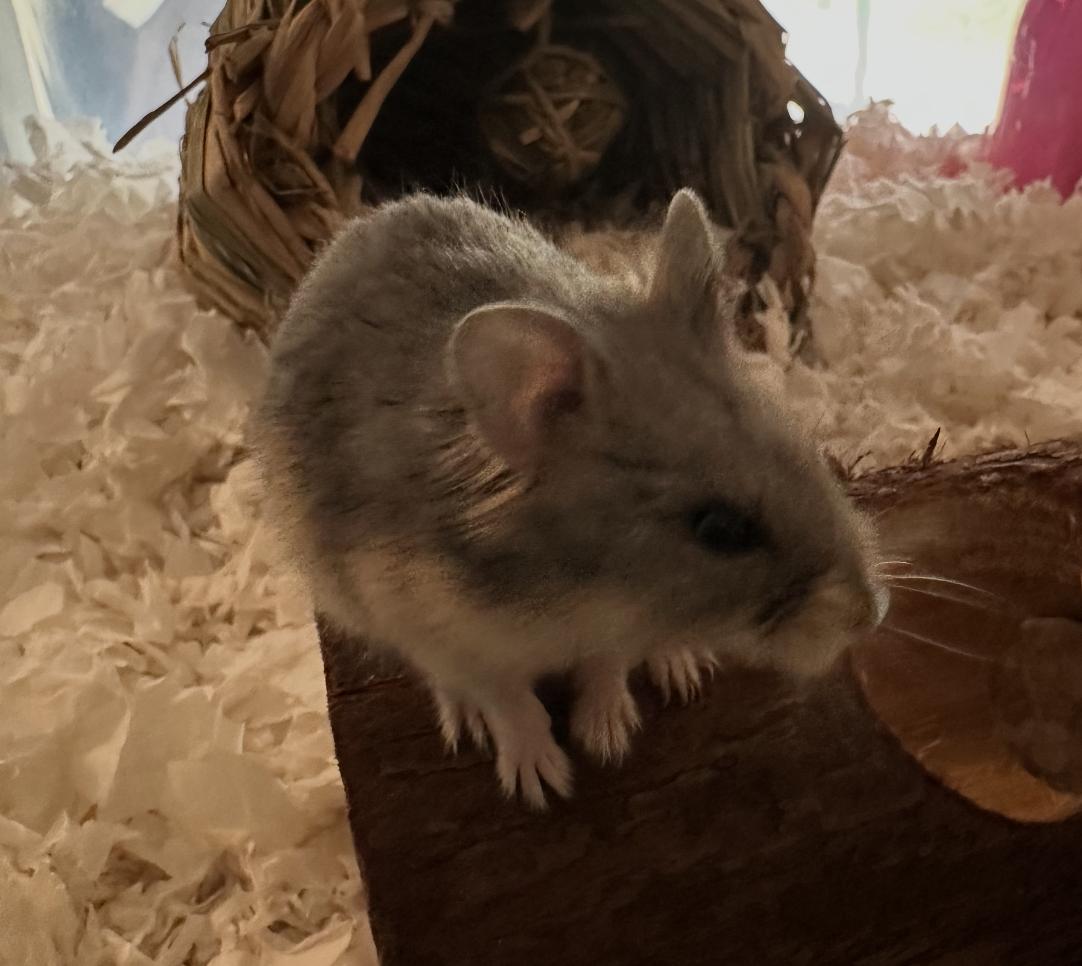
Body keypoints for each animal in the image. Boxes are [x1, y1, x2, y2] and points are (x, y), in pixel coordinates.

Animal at [253, 188, 888, 809]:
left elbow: (606, 664)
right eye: (719, 530)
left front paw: (608, 739)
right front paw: (544, 784)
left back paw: (683, 663)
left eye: (808, 453)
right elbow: (506, 697)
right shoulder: (436, 626)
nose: (870, 615)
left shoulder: (608, 634)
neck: (582, 595)